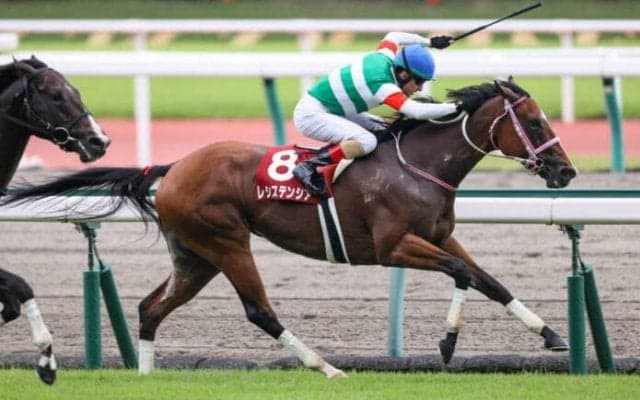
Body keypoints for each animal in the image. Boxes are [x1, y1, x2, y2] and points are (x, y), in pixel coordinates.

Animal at [0, 56, 110, 384]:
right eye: (56, 95)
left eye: (76, 91)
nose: (100, 140)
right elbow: (20, 286)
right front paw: (46, 358)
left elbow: (16, 296)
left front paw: (47, 360)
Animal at [2, 78, 576, 378]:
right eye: (537, 122)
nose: (566, 172)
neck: (417, 165)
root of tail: (173, 167)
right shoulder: (394, 246)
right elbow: (460, 273)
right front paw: (448, 344)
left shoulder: (437, 235)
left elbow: (488, 280)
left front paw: (552, 336)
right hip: (227, 242)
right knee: (259, 310)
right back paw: (326, 367)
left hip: (195, 256)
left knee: (150, 308)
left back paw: (145, 377)